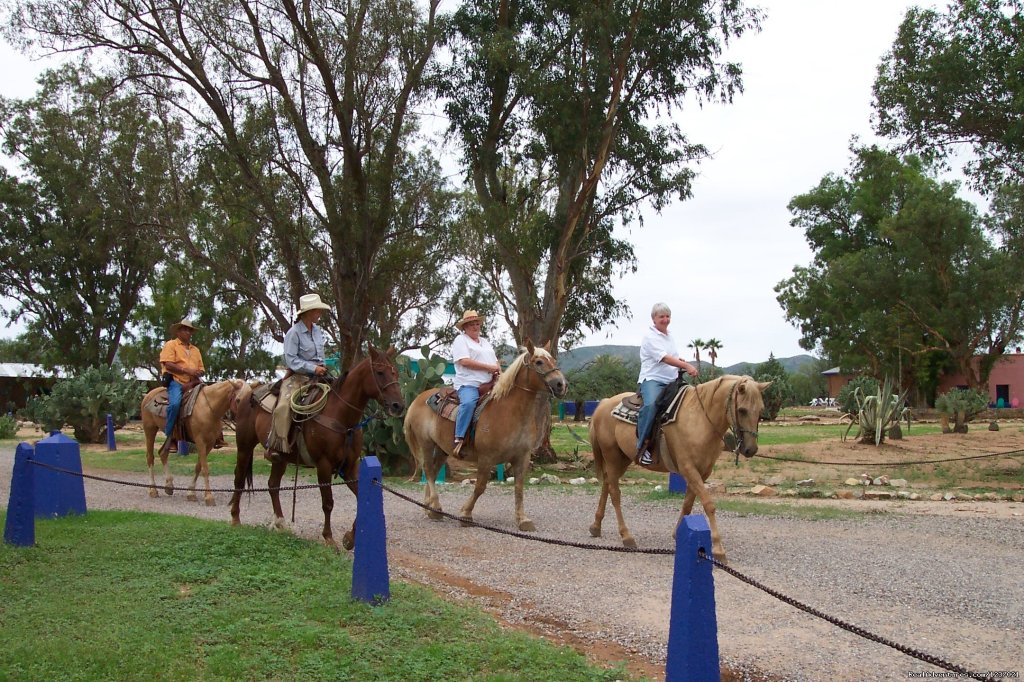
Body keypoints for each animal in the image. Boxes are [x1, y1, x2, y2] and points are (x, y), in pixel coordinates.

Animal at [230, 346, 405, 548]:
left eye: (396, 372)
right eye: (380, 372)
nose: (398, 406)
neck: (341, 417)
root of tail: (247, 395)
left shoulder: (350, 467)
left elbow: (360, 498)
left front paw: (349, 538)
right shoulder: (324, 465)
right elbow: (328, 503)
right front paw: (329, 538)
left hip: (281, 458)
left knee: (273, 485)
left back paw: (280, 522)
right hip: (244, 447)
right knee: (239, 479)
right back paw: (235, 518)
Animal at [403, 339, 569, 532]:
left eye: (554, 360)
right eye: (539, 362)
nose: (562, 385)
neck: (511, 412)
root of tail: (418, 399)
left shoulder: (522, 457)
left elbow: (519, 487)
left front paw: (523, 519)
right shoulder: (486, 457)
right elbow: (480, 486)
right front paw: (466, 514)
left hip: (443, 449)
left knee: (434, 471)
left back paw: (429, 508)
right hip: (427, 444)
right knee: (428, 470)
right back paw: (436, 508)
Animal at [585, 374, 770, 561]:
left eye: (761, 410)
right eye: (742, 410)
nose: (751, 449)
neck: (700, 420)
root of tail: (603, 404)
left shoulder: (702, 472)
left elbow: (688, 504)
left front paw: (678, 534)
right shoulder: (688, 468)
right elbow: (708, 504)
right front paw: (718, 549)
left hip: (623, 459)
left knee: (607, 484)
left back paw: (596, 526)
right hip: (612, 457)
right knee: (615, 493)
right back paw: (626, 536)